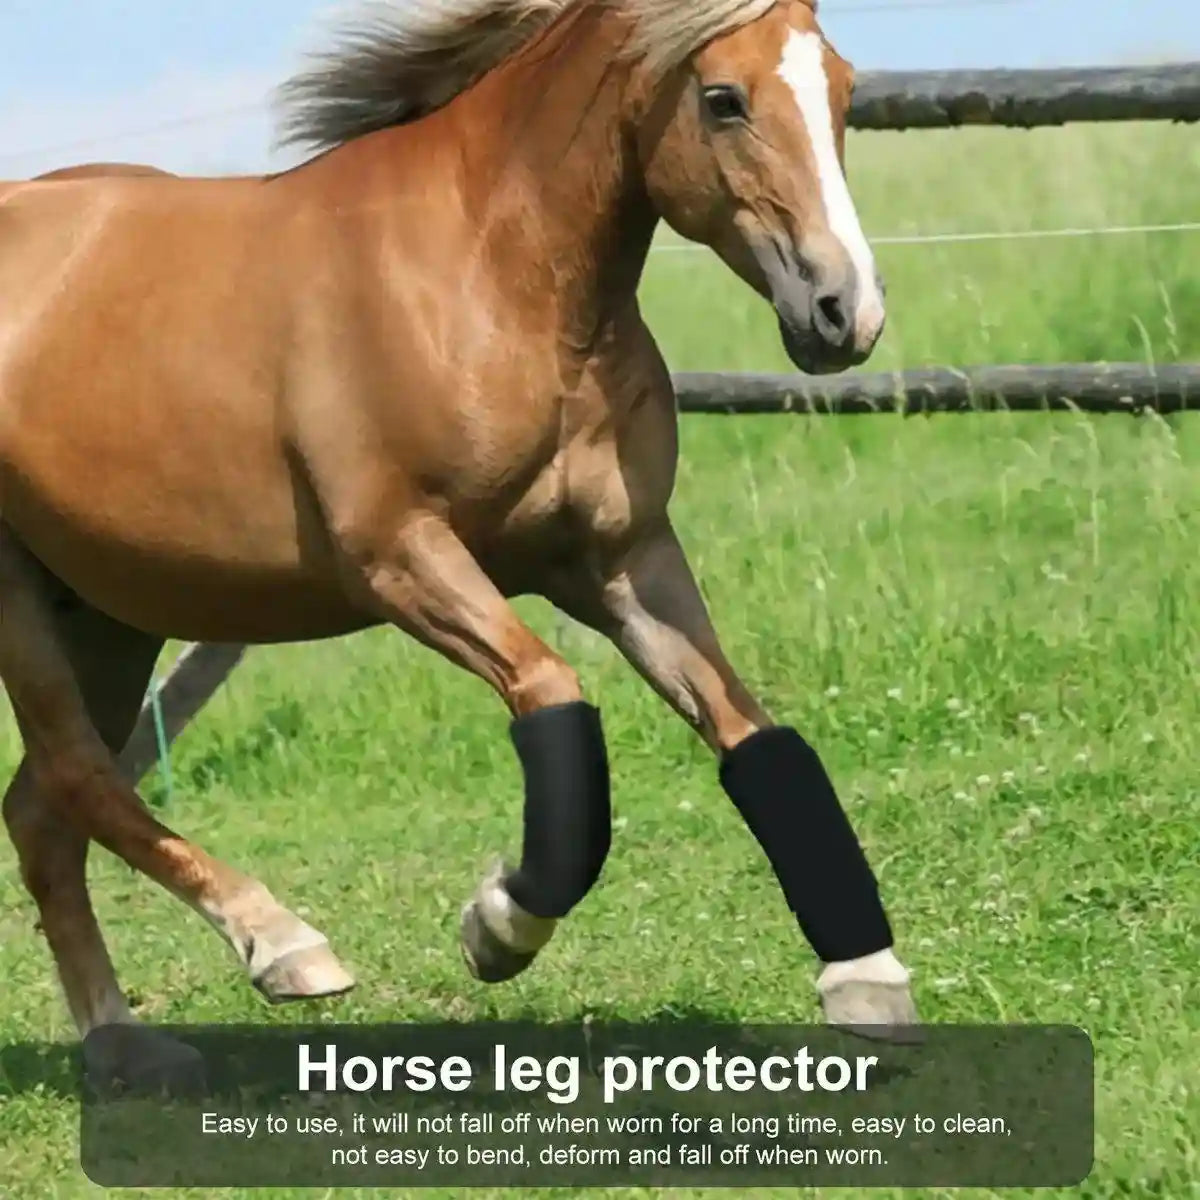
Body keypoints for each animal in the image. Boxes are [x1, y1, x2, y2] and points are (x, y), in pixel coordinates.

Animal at [0, 0, 916, 1081]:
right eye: (724, 98)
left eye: (846, 91)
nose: (845, 314)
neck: (493, 280)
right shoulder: (404, 556)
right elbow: (554, 697)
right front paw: (496, 926)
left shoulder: (624, 562)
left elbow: (756, 736)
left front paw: (868, 982)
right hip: (25, 606)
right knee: (78, 781)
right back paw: (284, 947)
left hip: (110, 610)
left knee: (43, 811)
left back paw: (126, 1043)